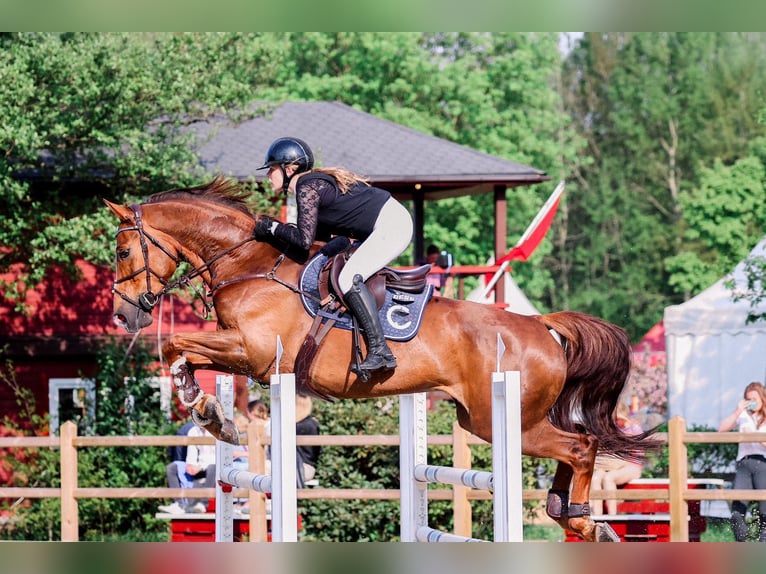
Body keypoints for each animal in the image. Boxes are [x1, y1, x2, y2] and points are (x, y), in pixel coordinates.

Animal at [106, 178, 660, 544]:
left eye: (123, 251)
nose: (123, 314)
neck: (249, 265)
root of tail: (542, 326)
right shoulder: (245, 356)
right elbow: (183, 352)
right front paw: (212, 412)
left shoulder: (255, 353)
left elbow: (178, 348)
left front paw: (207, 411)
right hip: (491, 418)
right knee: (575, 446)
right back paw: (570, 513)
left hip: (503, 419)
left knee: (581, 446)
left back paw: (582, 516)